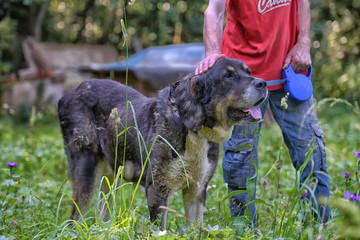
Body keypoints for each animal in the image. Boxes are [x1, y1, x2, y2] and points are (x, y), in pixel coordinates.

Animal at [57, 57, 268, 229]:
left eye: (249, 72)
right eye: (228, 76)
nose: (263, 83)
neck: (192, 130)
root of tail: (67, 94)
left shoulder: (197, 190)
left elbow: (196, 228)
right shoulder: (157, 190)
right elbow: (160, 230)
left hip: (109, 177)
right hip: (87, 172)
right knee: (74, 218)